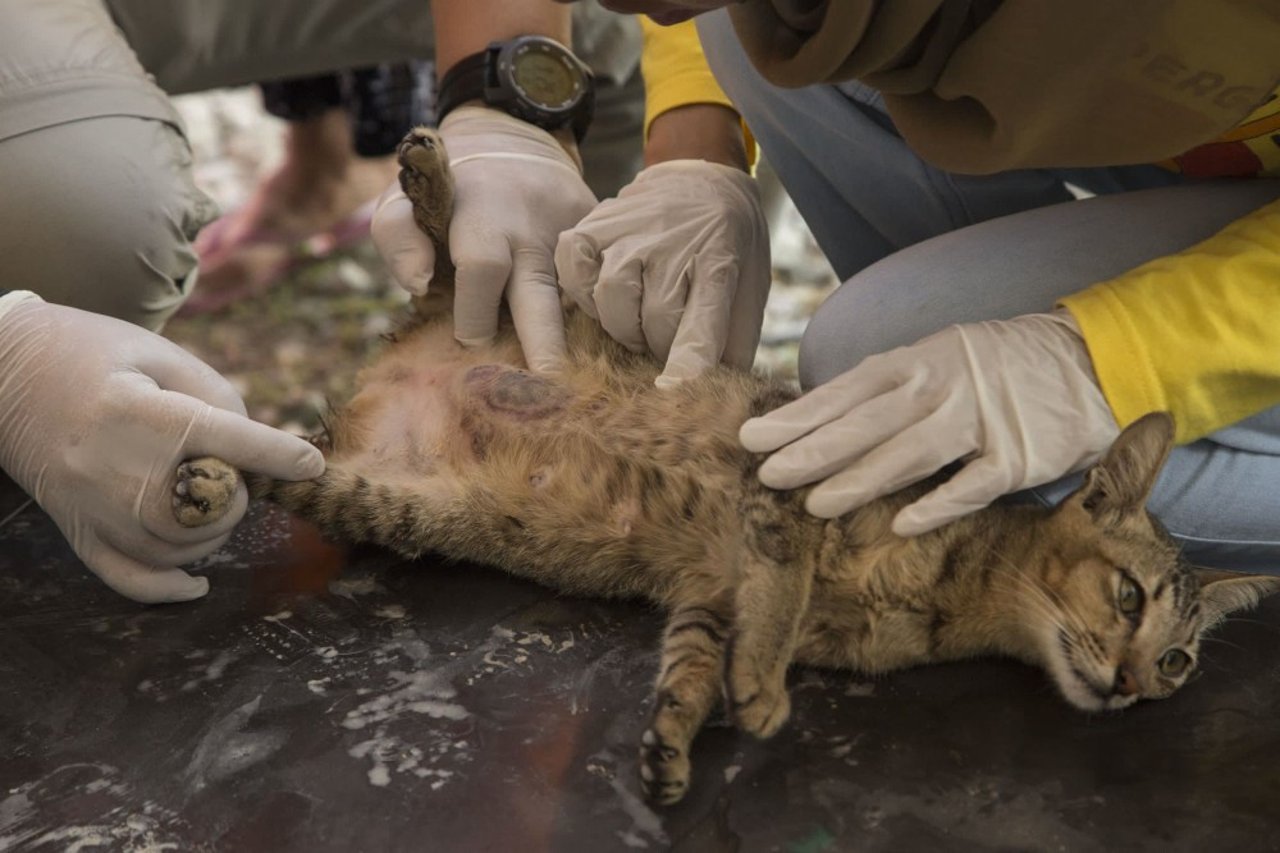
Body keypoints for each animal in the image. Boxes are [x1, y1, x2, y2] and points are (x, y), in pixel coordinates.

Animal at [177, 128, 1280, 804]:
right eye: (1129, 598)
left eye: (1178, 662)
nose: (1134, 685)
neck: (956, 598)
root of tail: (375, 381)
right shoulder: (787, 483)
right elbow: (779, 593)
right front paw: (763, 690)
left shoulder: (708, 587)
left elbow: (698, 659)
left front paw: (680, 732)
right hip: (513, 308)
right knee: (456, 260)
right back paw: (433, 176)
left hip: (378, 497)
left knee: (284, 461)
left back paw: (204, 469)